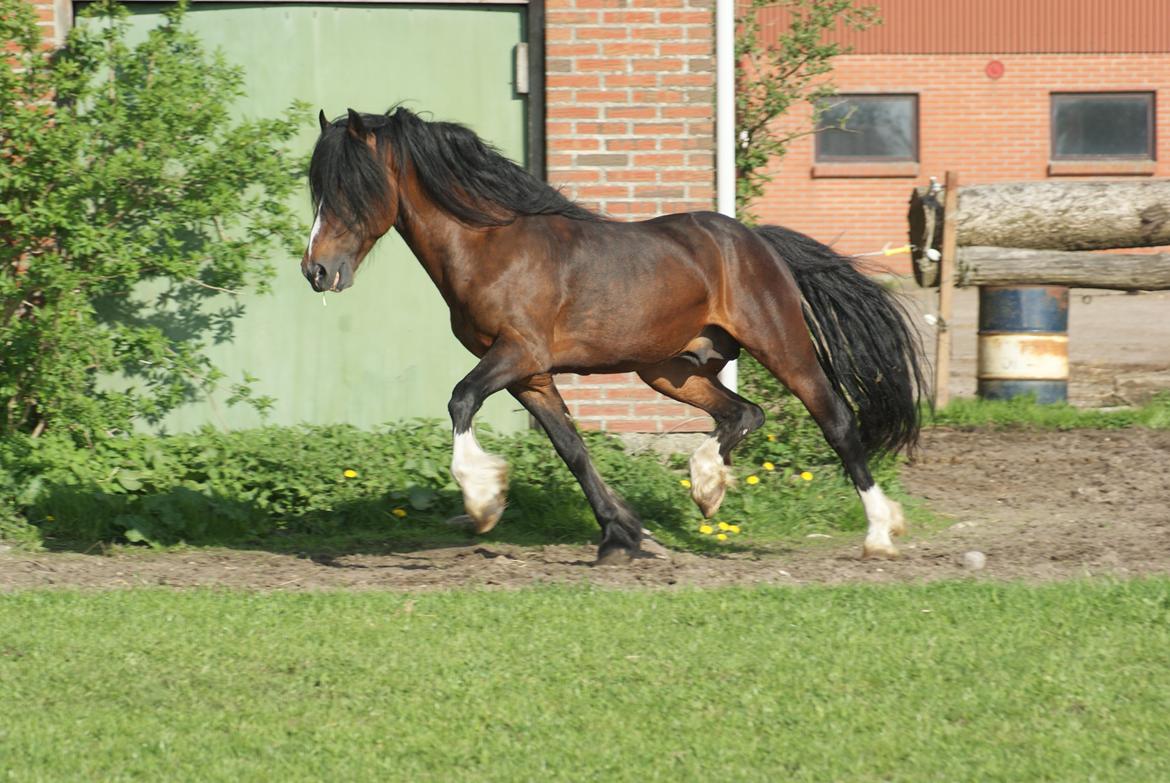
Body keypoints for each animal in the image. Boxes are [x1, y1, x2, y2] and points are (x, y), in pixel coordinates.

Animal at [306, 108, 926, 561]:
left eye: (354, 187)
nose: (316, 271)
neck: (491, 249)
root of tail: (755, 241)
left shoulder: (517, 353)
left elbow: (460, 400)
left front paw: (483, 501)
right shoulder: (529, 375)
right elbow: (573, 450)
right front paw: (625, 535)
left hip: (781, 346)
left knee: (836, 420)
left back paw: (880, 532)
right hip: (668, 369)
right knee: (742, 413)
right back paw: (706, 488)